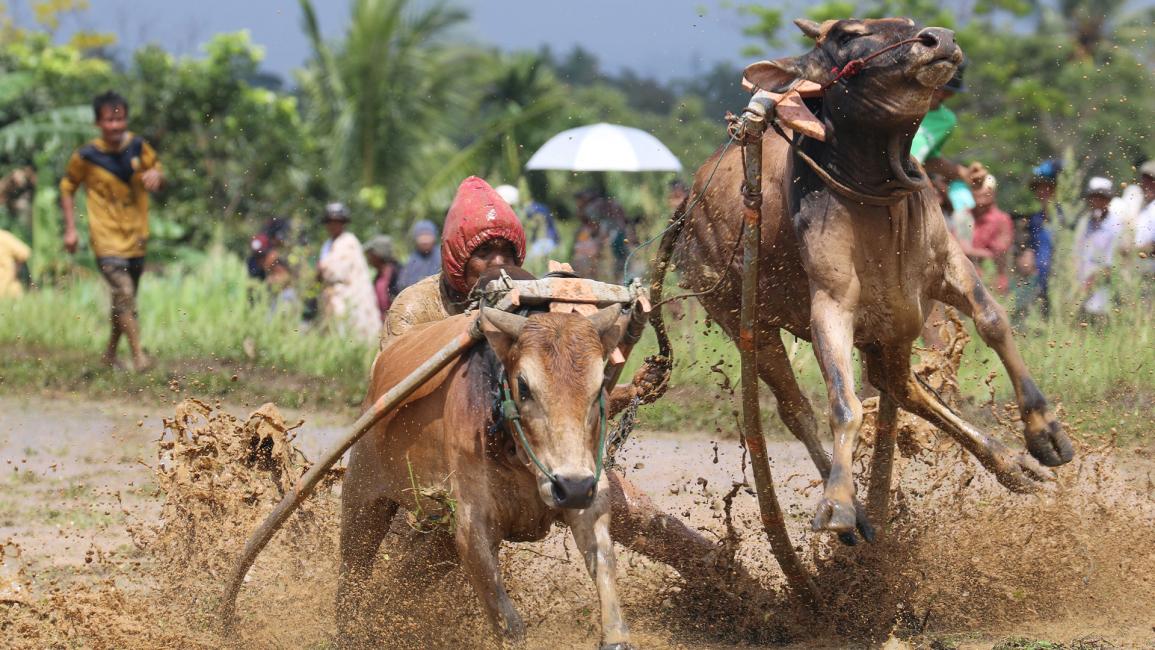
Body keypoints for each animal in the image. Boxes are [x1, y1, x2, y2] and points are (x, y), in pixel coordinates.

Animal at [337, 307, 637, 650]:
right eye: (523, 387)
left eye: (599, 386)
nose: (572, 487)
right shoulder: (472, 528)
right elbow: (509, 623)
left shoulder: (590, 495)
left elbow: (604, 565)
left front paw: (615, 637)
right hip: (363, 496)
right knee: (352, 572)